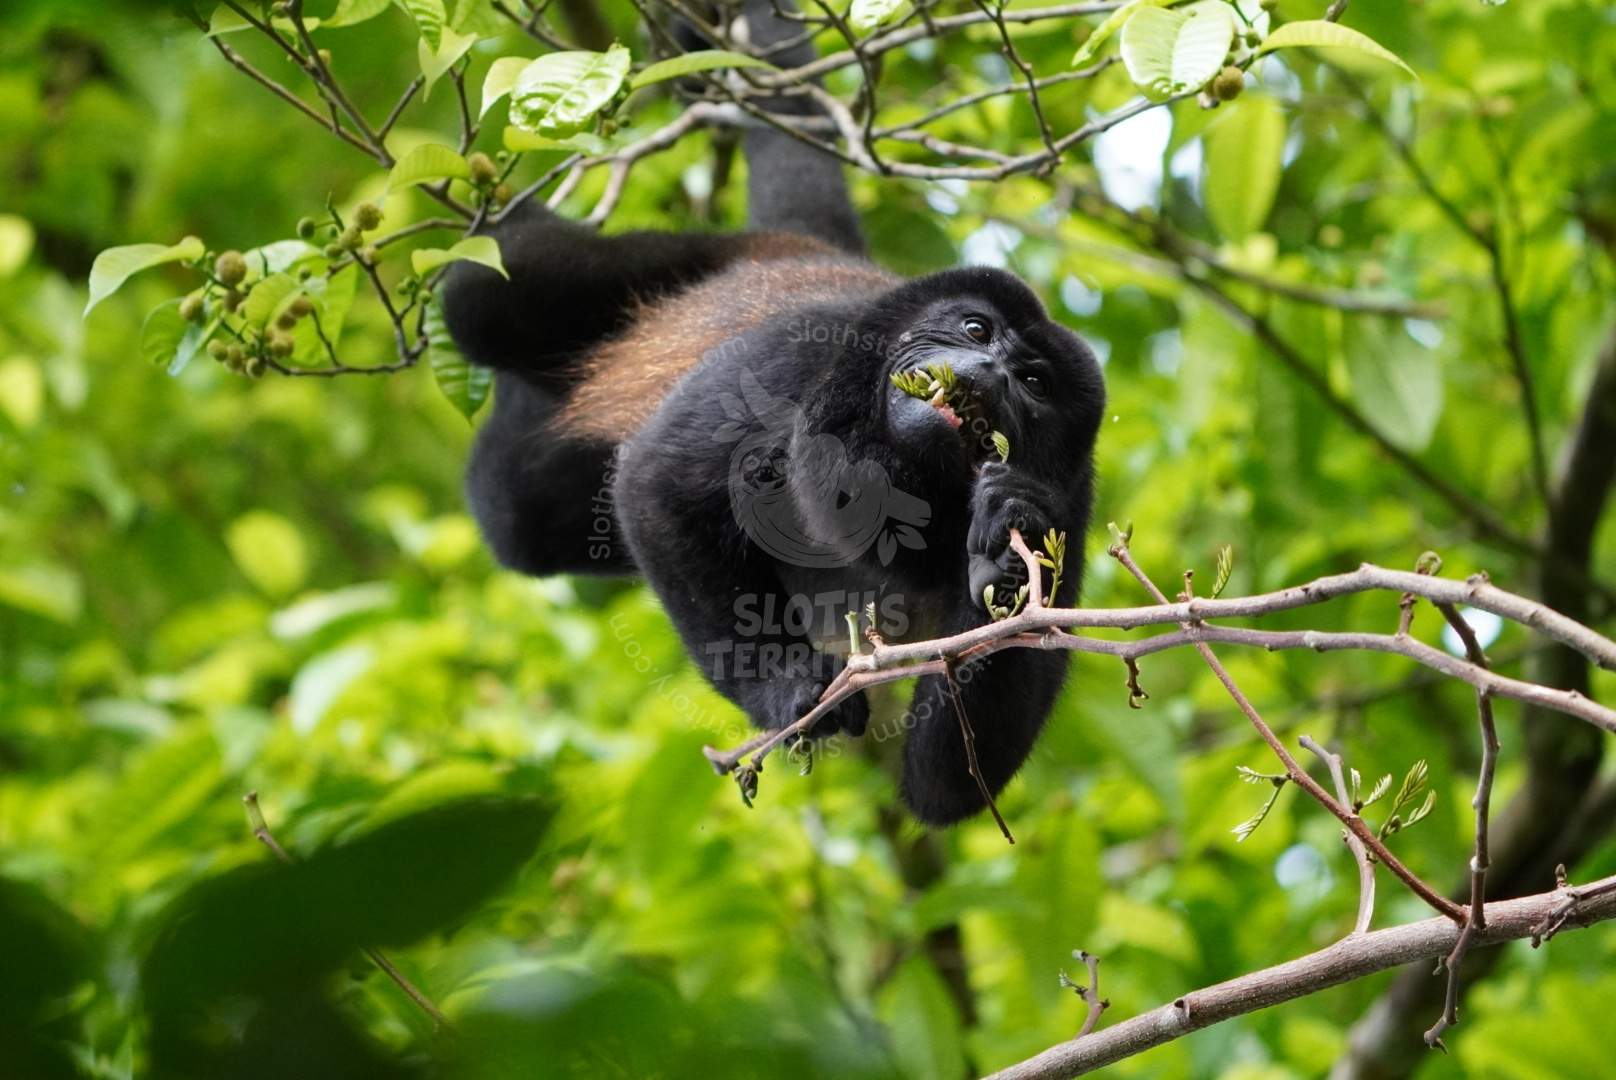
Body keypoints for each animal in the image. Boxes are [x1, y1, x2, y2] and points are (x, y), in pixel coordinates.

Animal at [441, 0, 1105, 825]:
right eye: (977, 330)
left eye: (1035, 381)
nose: (989, 373)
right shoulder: (799, 359)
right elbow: (658, 480)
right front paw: (784, 690)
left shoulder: (1074, 506)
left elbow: (950, 783)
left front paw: (1007, 534)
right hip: (683, 259)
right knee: (484, 298)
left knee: (524, 514)